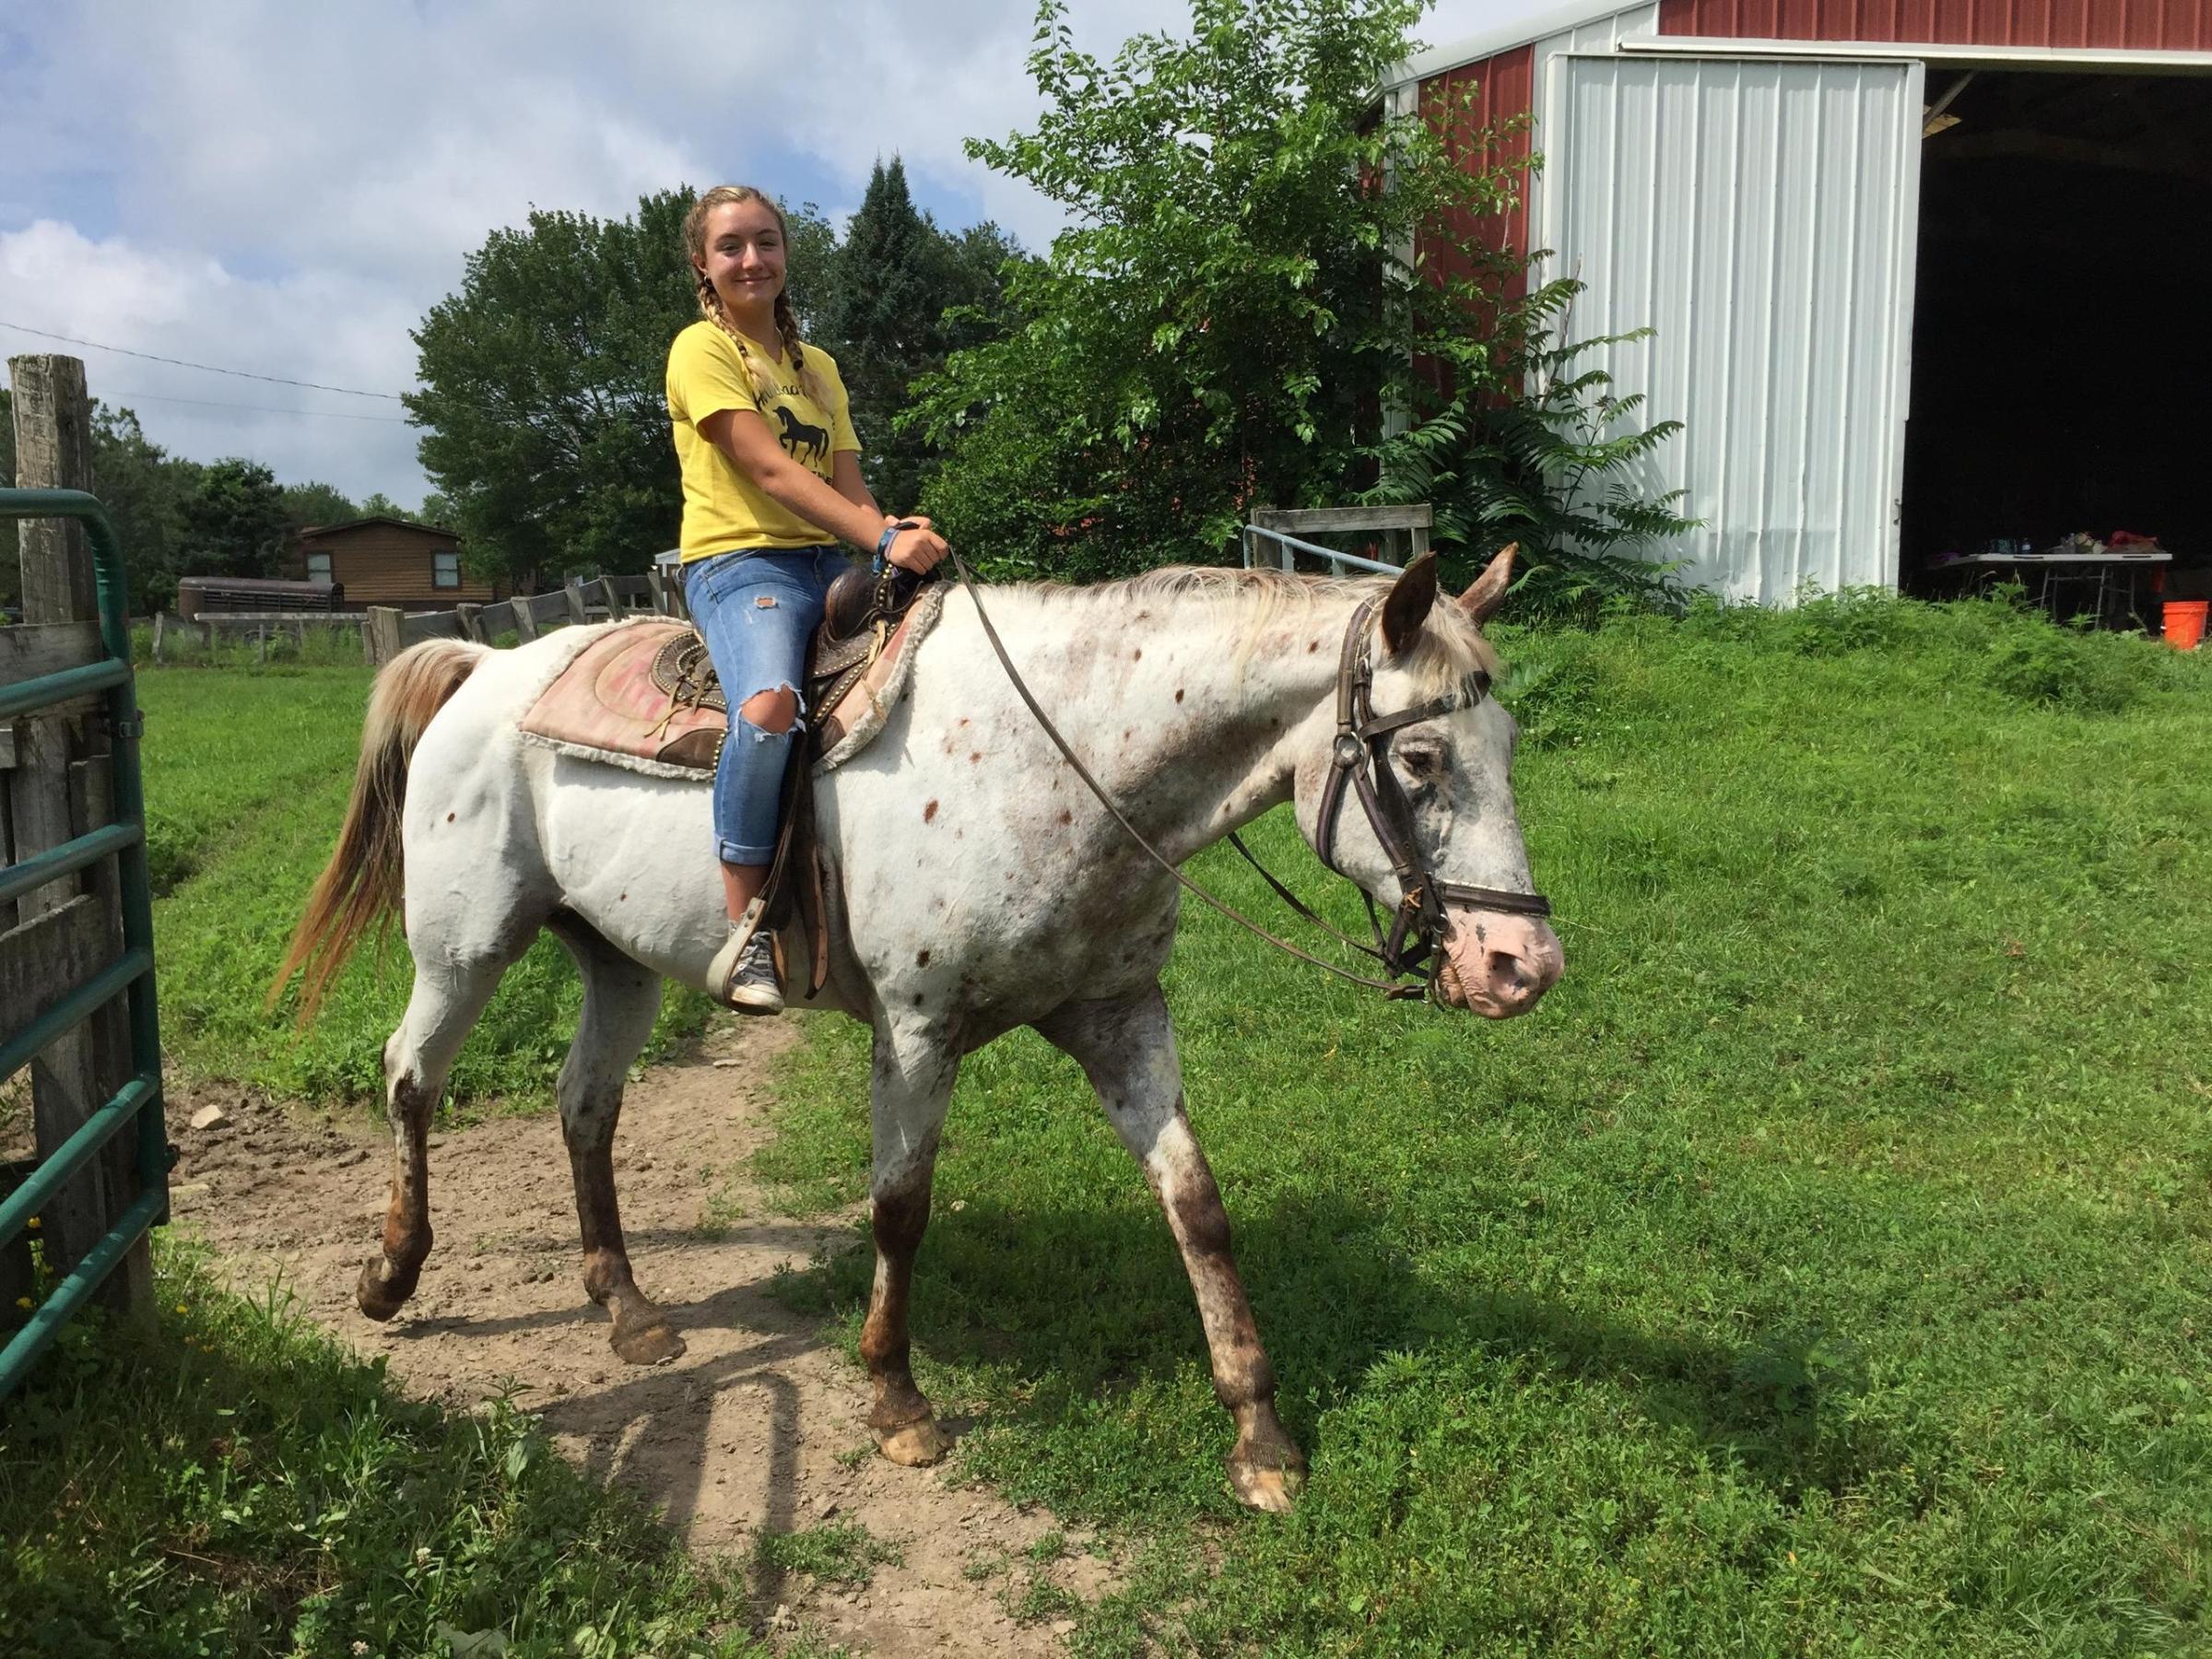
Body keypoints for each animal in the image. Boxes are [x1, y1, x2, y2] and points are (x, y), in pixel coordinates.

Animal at [275, 548, 1563, 1512]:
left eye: (1504, 749)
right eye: (1420, 756)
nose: (1523, 968)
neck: (1064, 763)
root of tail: (488, 664)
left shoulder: (1120, 1018)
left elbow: (1196, 1206)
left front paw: (1260, 1437)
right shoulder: (915, 1030)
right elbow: (901, 1209)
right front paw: (898, 1402)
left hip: (618, 964)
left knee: (584, 1105)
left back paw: (628, 1309)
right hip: (465, 944)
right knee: (410, 1079)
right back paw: (390, 1276)